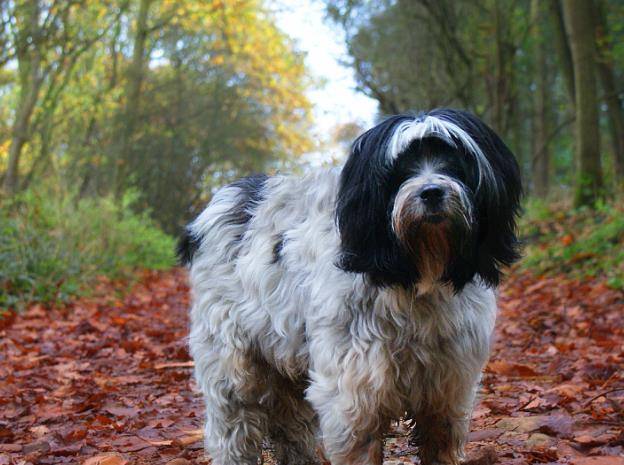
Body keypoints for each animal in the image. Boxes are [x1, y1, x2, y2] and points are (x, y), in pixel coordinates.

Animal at [178, 109, 520, 464]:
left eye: (454, 163)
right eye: (400, 169)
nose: (431, 193)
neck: (413, 275)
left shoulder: (447, 390)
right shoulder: (355, 393)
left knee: (290, 426)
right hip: (233, 368)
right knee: (235, 428)